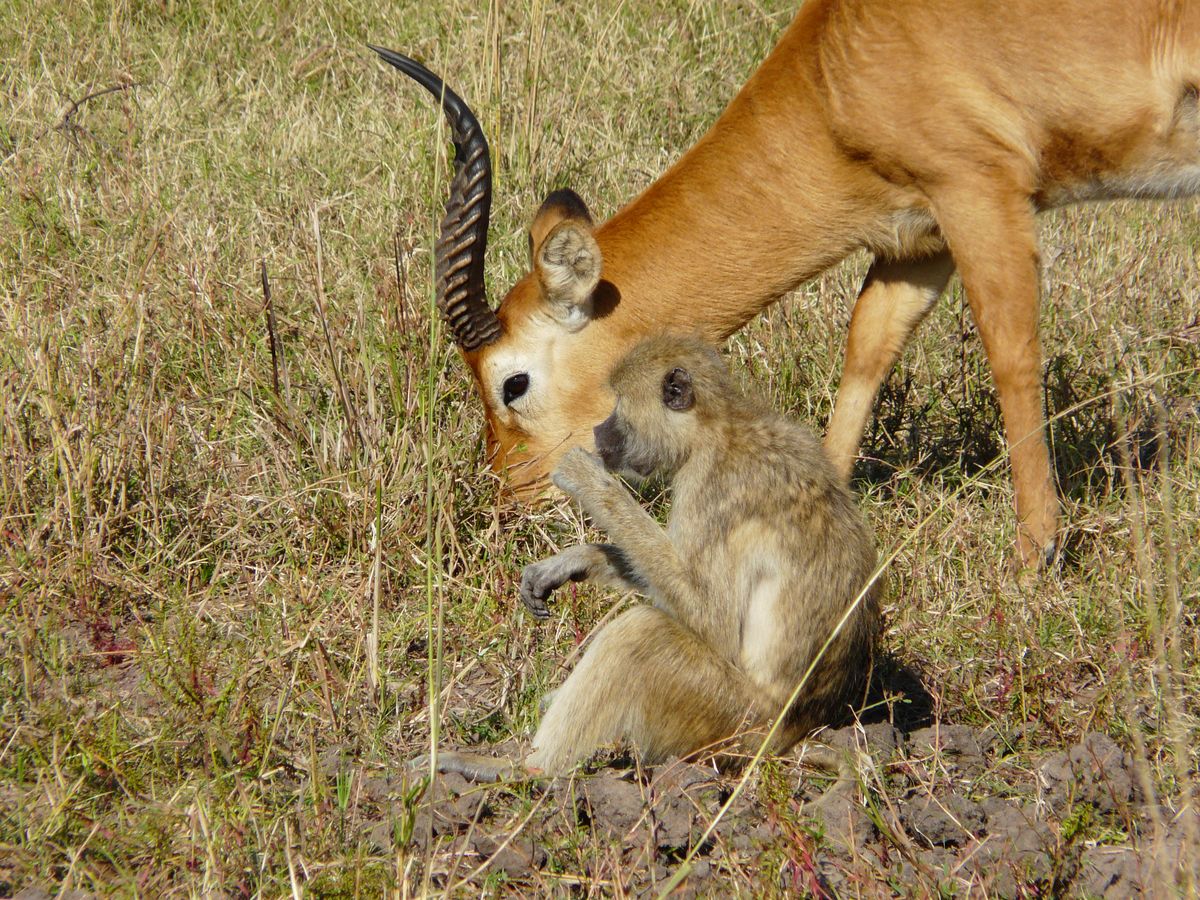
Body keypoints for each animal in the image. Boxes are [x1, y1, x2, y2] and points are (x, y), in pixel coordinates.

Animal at [420, 334, 882, 783]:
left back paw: (525, 770)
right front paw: (577, 560)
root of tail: (789, 734)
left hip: (728, 718)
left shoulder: (708, 489)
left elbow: (713, 623)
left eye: (619, 404)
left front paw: (590, 482)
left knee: (641, 635)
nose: (599, 430)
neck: (716, 428)